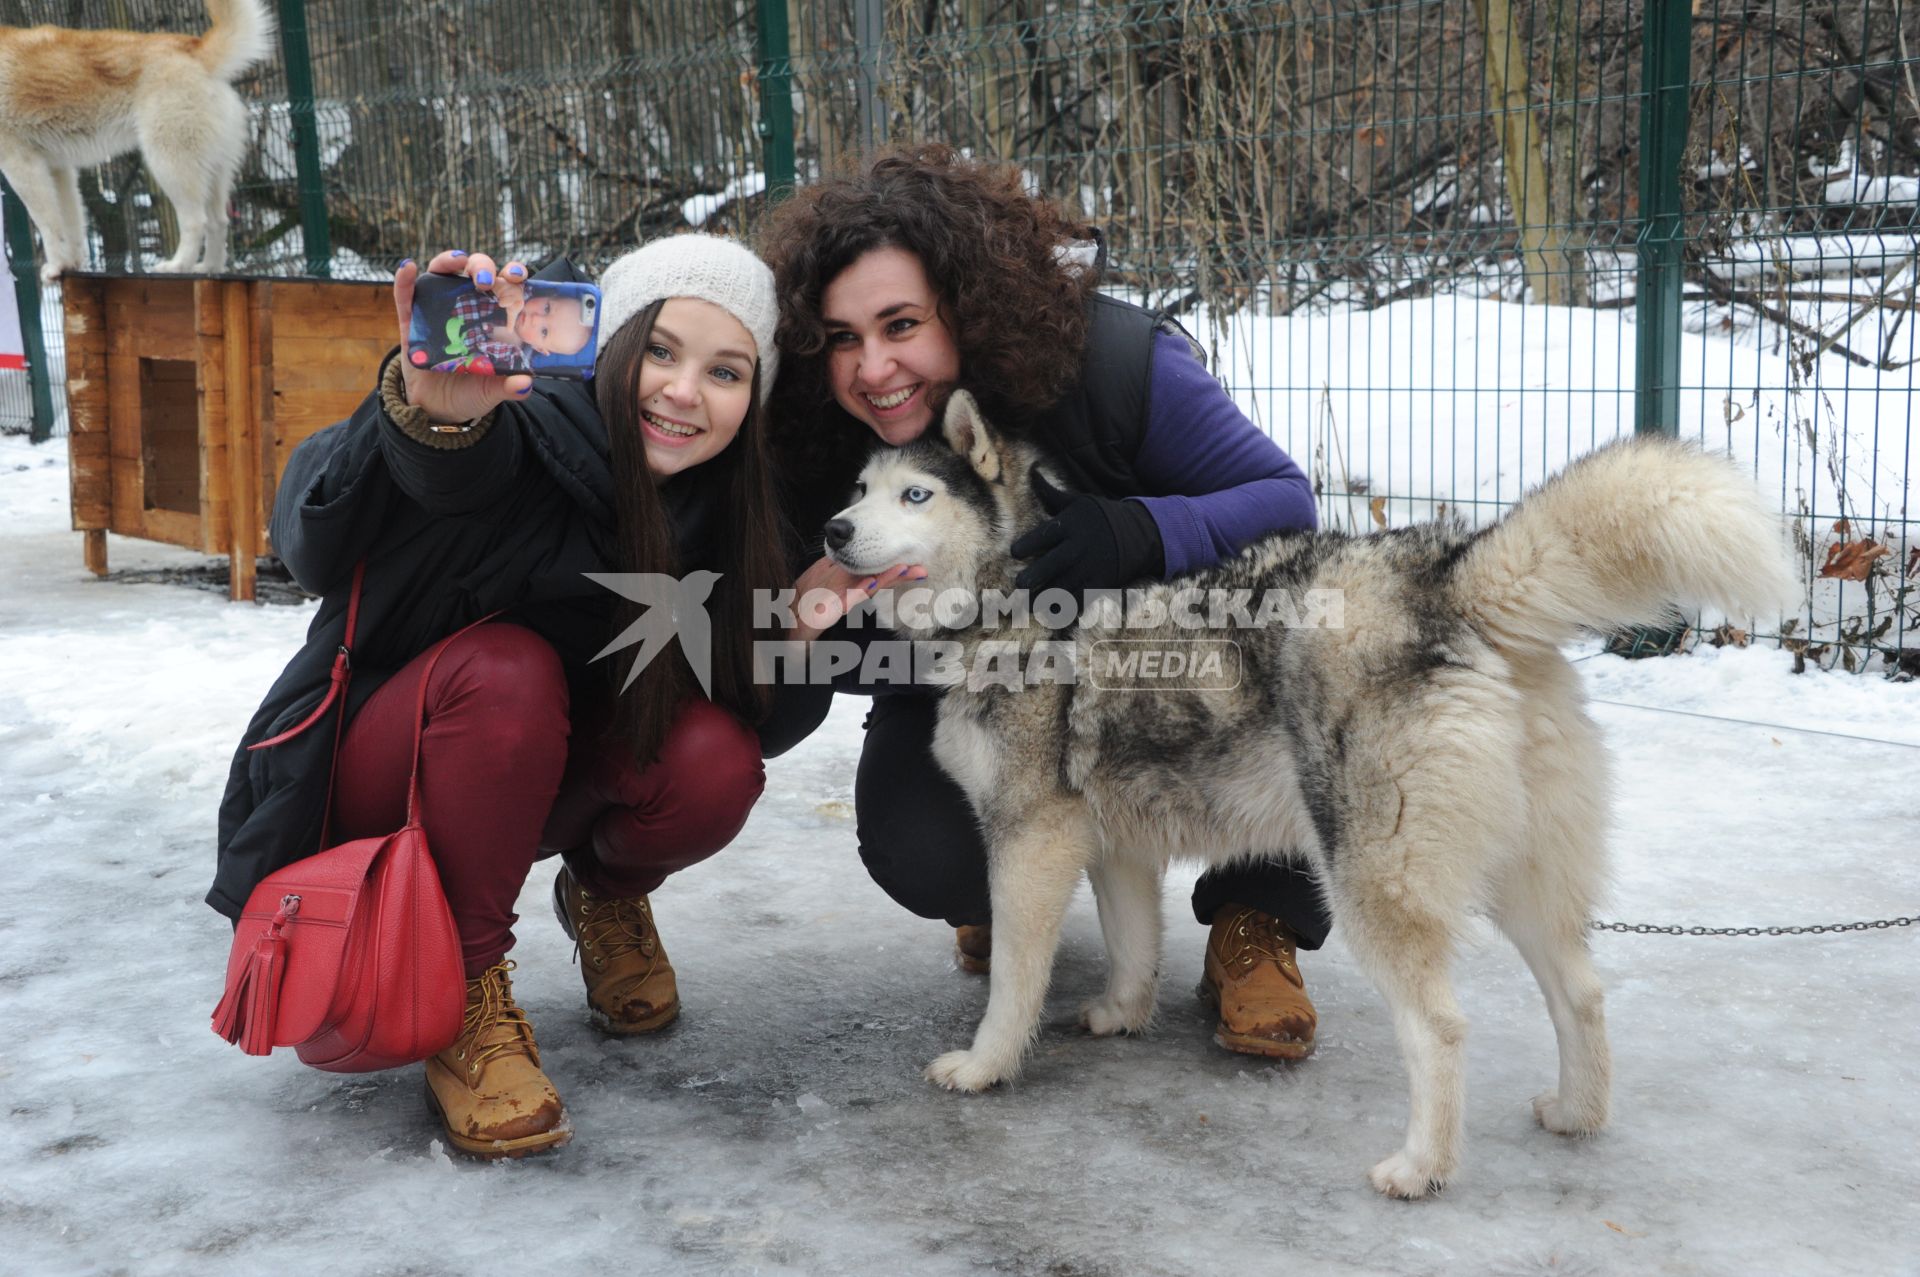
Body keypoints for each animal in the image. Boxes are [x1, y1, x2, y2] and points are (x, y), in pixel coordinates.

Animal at [0, 0, 274, 282]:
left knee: (197, 221)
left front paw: (55, 267)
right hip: (212, 173)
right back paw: (208, 268)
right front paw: (69, 266)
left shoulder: (22, 166)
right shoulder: (59, 169)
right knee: (219, 222)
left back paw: (177, 266)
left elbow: (48, 225)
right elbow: (72, 225)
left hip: (168, 166)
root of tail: (195, 50)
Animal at [825, 387, 1797, 1198]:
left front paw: (986, 1065)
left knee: (1442, 1027)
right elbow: (1133, 947)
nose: (831, 531)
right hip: (1522, 878)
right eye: (862, 487)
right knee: (1583, 993)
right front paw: (1119, 1016)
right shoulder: (1117, 848)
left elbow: (1014, 984)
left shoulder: (1029, 843)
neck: (1013, 598)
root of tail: (1440, 573)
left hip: (1368, 875)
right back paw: (1576, 1114)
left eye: (916, 496)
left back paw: (1421, 1167)